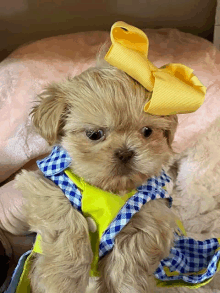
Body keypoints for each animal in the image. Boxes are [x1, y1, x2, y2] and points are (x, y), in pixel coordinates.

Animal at [15, 62, 179, 292]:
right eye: (94, 134)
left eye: (147, 131)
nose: (125, 153)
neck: (108, 190)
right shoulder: (43, 186)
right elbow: (68, 222)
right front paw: (63, 278)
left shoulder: (151, 210)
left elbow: (131, 252)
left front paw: (127, 285)